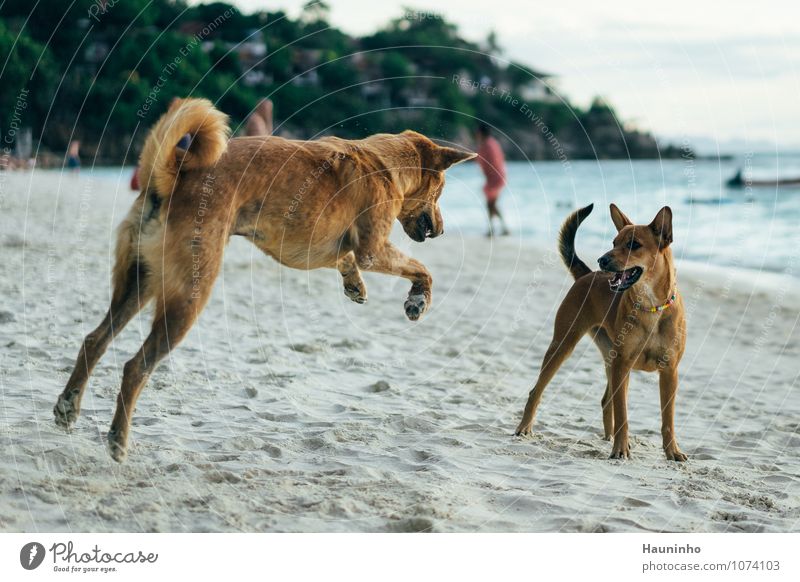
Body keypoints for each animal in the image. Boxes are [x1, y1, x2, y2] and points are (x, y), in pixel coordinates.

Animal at [53, 98, 476, 460]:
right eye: (440, 191)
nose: (441, 230)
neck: (384, 162)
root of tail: (172, 175)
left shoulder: (322, 248)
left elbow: (345, 258)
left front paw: (354, 284)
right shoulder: (374, 248)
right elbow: (420, 268)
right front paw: (418, 299)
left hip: (135, 283)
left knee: (94, 340)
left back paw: (68, 406)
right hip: (188, 295)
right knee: (136, 366)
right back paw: (118, 441)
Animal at [516, 203, 692, 464]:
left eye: (633, 244)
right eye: (614, 242)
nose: (602, 260)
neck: (650, 305)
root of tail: (587, 274)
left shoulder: (669, 371)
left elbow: (667, 419)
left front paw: (672, 451)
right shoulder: (623, 365)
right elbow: (623, 415)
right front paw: (621, 449)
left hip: (611, 360)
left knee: (606, 400)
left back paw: (608, 438)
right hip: (564, 346)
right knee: (536, 391)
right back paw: (524, 427)